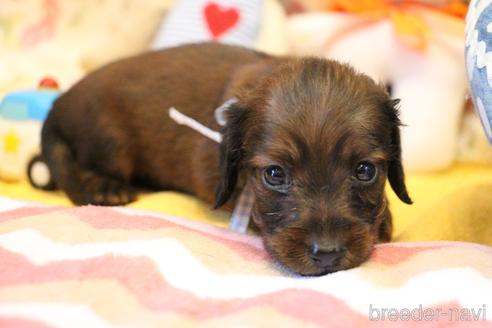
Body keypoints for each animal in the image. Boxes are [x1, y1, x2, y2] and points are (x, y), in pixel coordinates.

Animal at [41, 42, 412, 276]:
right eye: (274, 174)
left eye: (365, 170)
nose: (328, 253)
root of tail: (59, 103)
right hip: (110, 142)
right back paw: (107, 188)